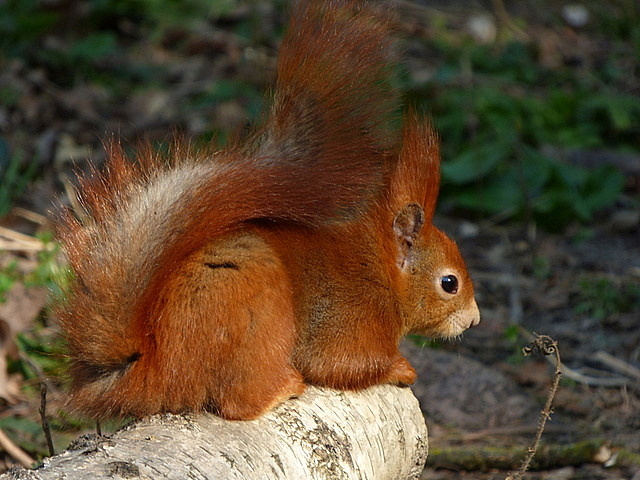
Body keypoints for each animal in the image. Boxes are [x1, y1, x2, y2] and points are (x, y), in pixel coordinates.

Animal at [55, 0, 480, 421]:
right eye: (450, 283)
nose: (474, 319)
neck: (383, 271)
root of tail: (155, 365)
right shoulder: (351, 319)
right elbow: (342, 365)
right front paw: (403, 368)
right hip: (258, 313)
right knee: (239, 402)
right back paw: (283, 388)